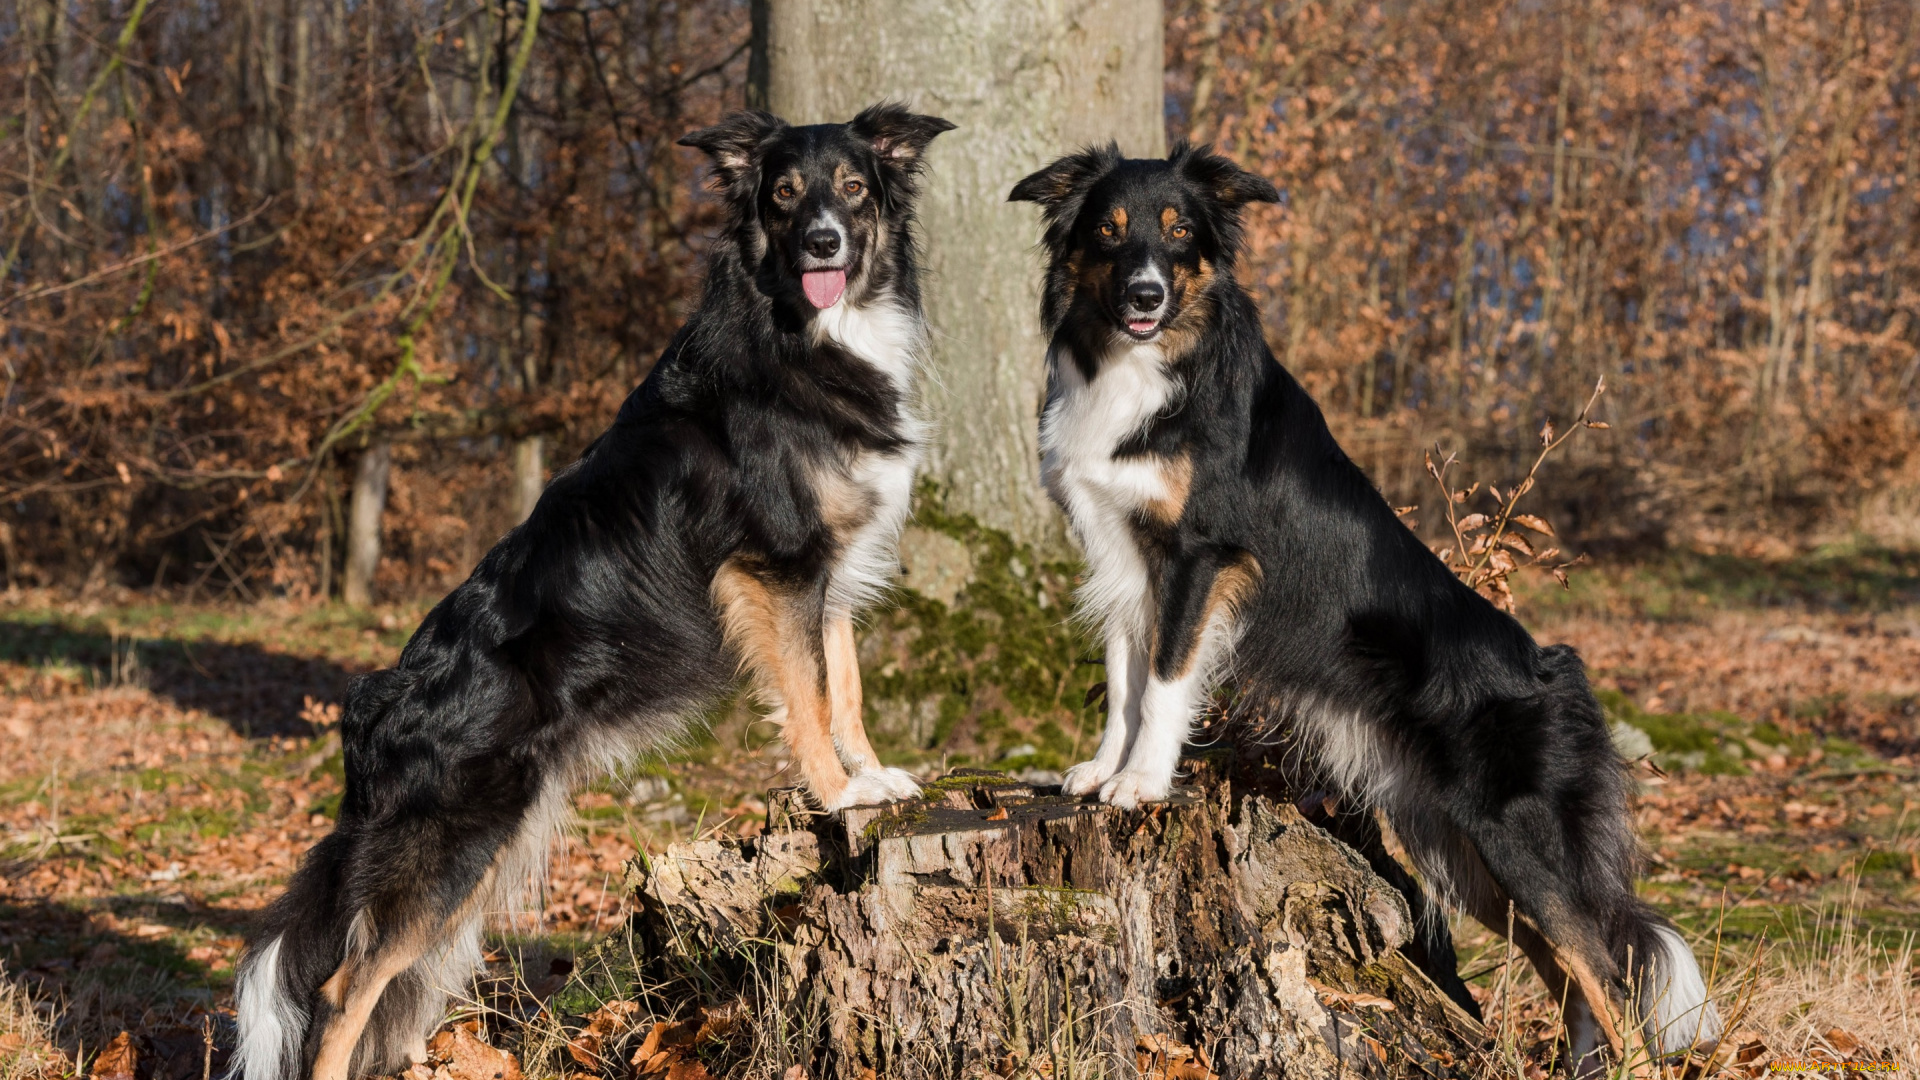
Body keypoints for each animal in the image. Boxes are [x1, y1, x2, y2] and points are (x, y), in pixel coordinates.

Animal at [230, 105, 952, 1076]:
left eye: (853, 187)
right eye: (783, 194)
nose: (823, 242)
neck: (800, 334)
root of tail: (374, 705)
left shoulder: (825, 576)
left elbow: (844, 688)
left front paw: (873, 775)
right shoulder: (778, 566)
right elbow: (804, 698)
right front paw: (838, 796)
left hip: (483, 859)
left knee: (396, 988)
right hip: (455, 845)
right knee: (345, 990)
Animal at [1013, 141, 1720, 1068]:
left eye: (1180, 234)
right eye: (1107, 230)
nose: (1146, 296)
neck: (1150, 365)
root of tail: (1555, 670)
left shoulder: (1202, 557)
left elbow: (1165, 683)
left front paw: (1143, 783)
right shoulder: (1128, 558)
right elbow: (1128, 677)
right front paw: (1102, 771)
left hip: (1516, 842)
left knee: (1609, 980)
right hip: (1468, 857)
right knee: (1576, 982)